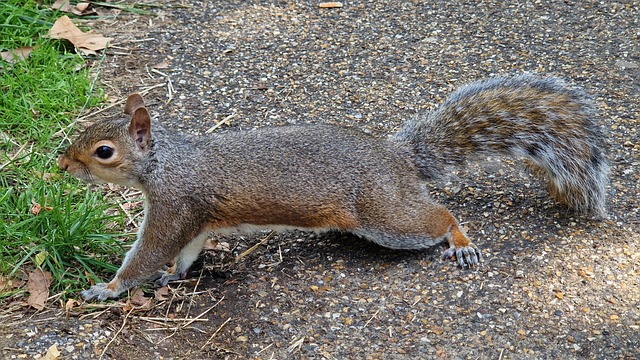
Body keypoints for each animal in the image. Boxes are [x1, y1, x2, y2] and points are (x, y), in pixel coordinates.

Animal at [57, 73, 608, 300]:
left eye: (103, 151)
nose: (62, 163)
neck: (166, 161)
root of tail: (396, 159)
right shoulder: (195, 219)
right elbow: (187, 250)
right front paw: (174, 276)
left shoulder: (175, 203)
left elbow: (150, 251)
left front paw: (107, 288)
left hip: (385, 216)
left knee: (438, 216)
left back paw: (461, 239)